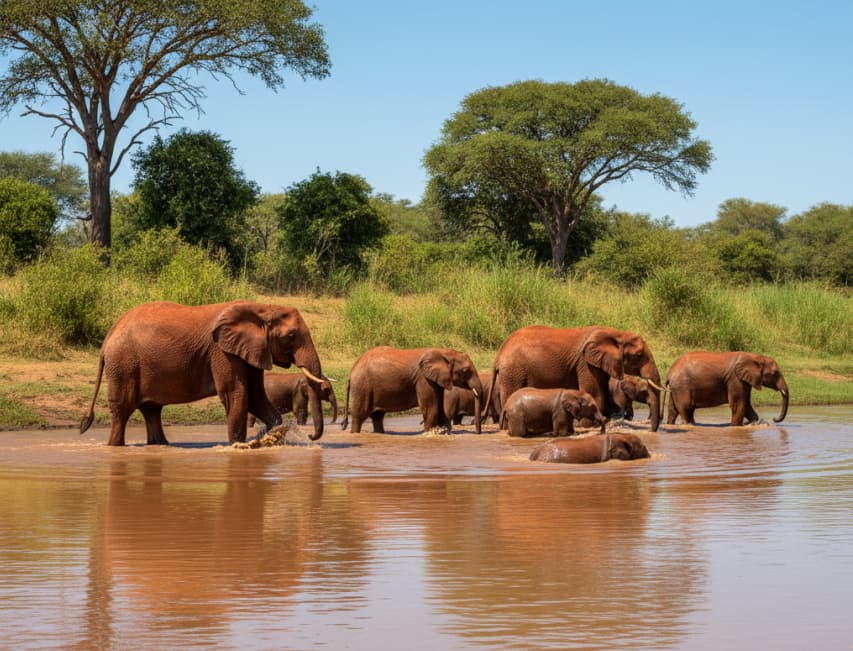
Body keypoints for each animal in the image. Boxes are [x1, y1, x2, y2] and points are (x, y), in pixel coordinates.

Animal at [79, 300, 328, 445]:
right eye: (291, 336)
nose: (310, 436)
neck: (260, 307)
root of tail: (110, 334)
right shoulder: (222, 351)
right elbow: (236, 395)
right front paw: (238, 446)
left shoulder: (252, 350)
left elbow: (257, 397)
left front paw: (268, 438)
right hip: (123, 365)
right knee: (123, 410)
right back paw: (115, 446)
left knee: (151, 410)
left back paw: (159, 445)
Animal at [341, 346, 484, 434]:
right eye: (466, 371)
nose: (478, 433)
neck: (443, 352)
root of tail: (352, 371)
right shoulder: (423, 379)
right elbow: (431, 409)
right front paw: (429, 434)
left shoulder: (435, 379)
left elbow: (440, 408)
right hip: (362, 387)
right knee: (359, 416)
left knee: (377, 416)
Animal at [485, 325, 663, 432]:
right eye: (639, 355)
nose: (651, 431)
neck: (616, 333)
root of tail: (499, 354)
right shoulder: (585, 362)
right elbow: (595, 392)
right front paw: (590, 426)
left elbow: (604, 392)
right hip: (513, 371)